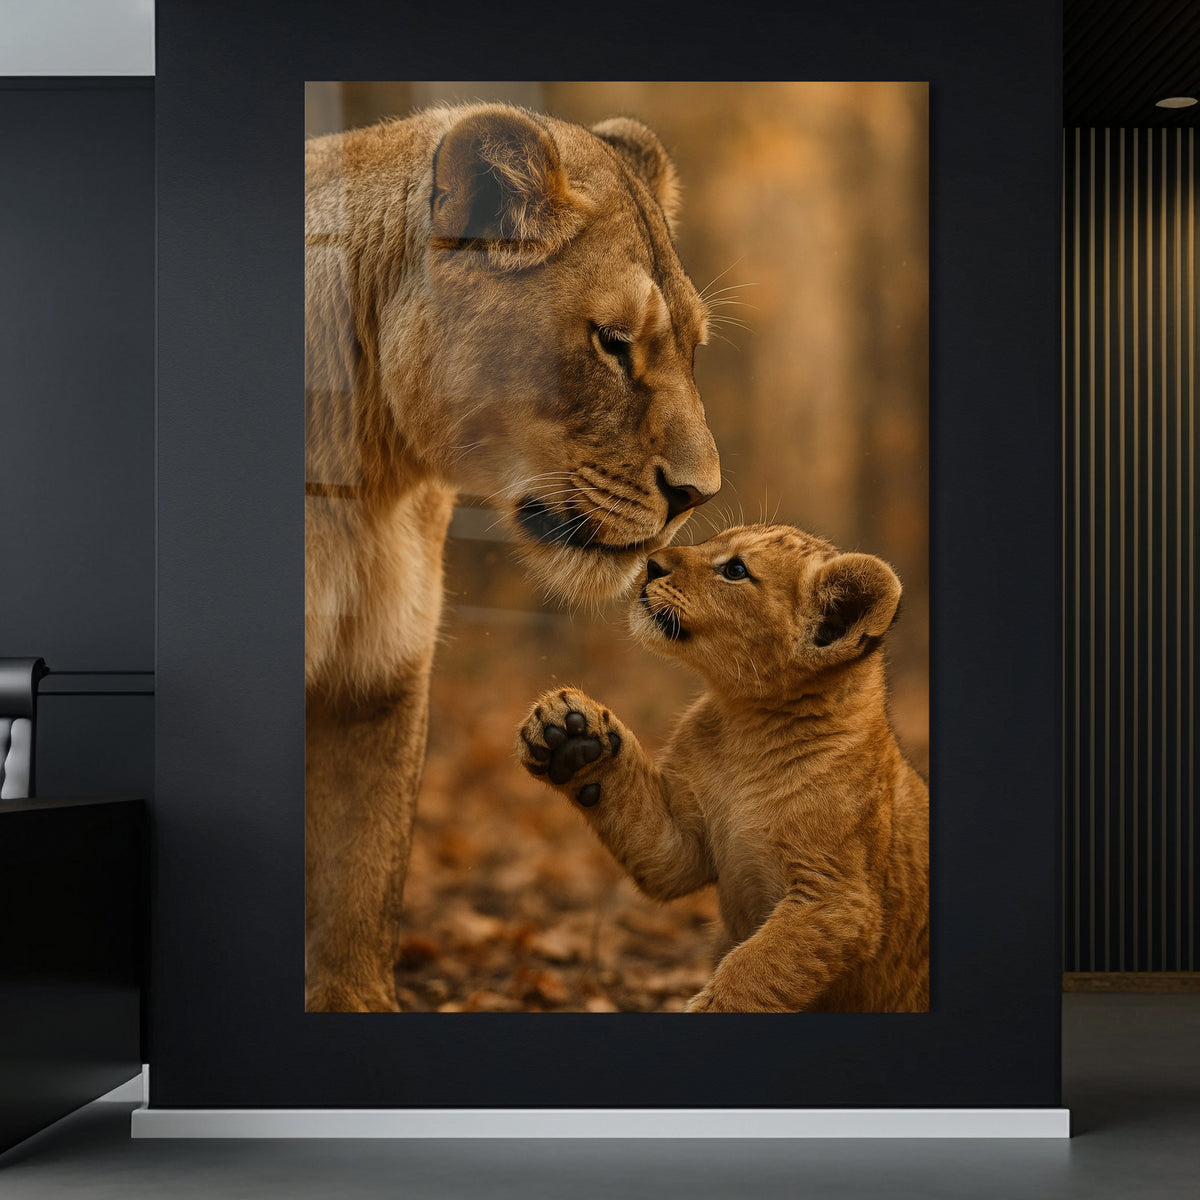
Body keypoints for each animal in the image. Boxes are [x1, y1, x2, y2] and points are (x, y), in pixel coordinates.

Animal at [305, 102, 721, 1011]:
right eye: (613, 342)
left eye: (693, 347)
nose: (700, 494)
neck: (368, 472)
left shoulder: (375, 676)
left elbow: (355, 889)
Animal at [516, 524, 928, 1012]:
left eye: (735, 570)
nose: (651, 564)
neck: (748, 728)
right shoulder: (684, 849)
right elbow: (653, 841)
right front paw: (570, 734)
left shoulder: (839, 898)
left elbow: (758, 965)